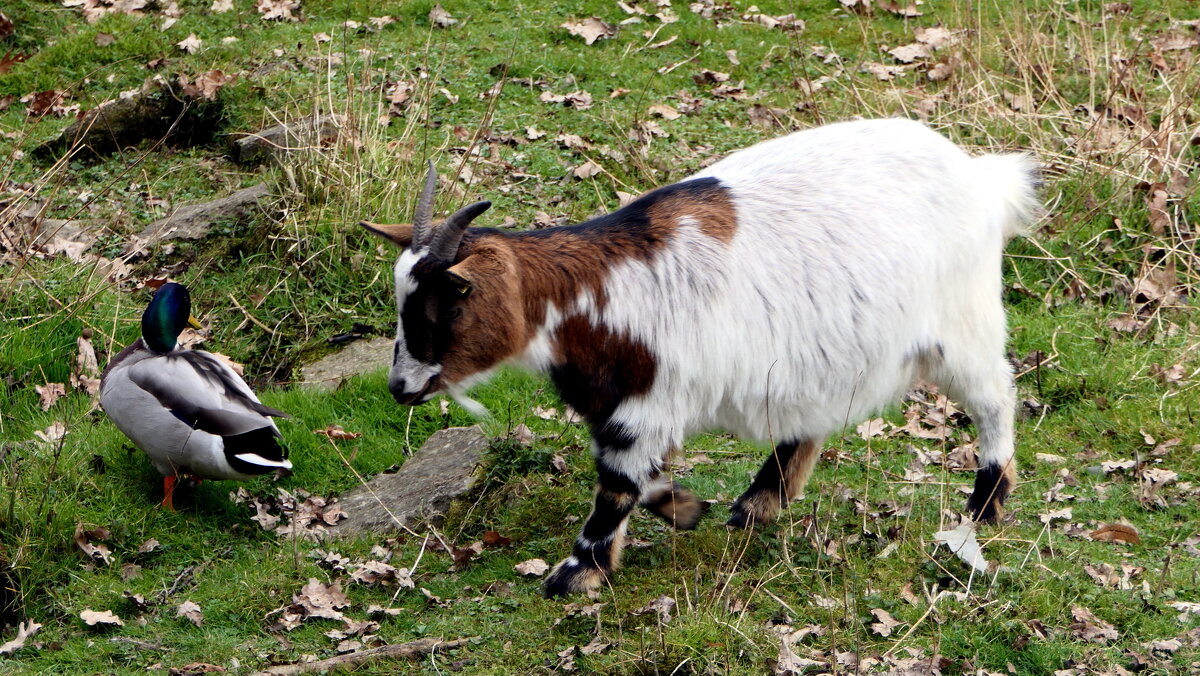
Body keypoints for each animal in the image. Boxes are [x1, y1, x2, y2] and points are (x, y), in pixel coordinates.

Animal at [357, 118, 1041, 595]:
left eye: (442, 306)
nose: (400, 386)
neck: (598, 294)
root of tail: (982, 177)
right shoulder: (623, 407)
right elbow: (638, 477)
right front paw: (685, 509)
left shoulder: (642, 406)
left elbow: (616, 485)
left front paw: (576, 571)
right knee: (808, 422)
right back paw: (760, 503)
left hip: (962, 326)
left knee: (996, 398)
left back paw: (986, 504)